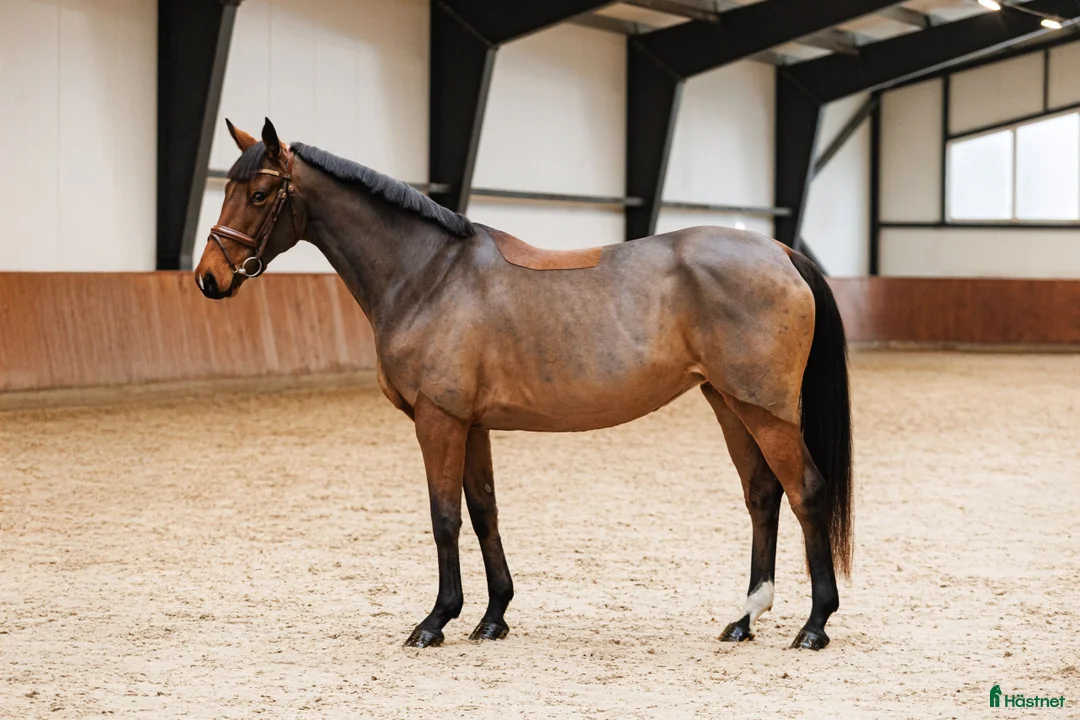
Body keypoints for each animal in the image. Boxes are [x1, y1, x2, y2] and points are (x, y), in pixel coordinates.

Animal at [195, 118, 853, 651]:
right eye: (225, 189)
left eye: (258, 194)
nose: (208, 278)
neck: (429, 274)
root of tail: (778, 249)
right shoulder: (472, 425)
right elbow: (484, 510)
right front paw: (492, 618)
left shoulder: (438, 420)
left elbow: (444, 517)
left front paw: (435, 621)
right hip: (730, 402)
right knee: (762, 496)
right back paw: (745, 618)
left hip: (764, 410)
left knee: (807, 493)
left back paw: (814, 625)